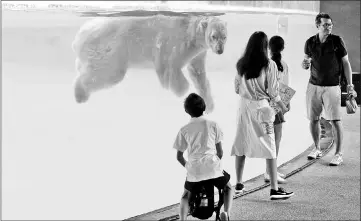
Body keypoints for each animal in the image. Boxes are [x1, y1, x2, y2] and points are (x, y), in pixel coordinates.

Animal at [71, 15, 226, 112]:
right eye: (213, 36)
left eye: (224, 36)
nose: (220, 50)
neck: (191, 34)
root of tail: (80, 35)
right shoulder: (175, 44)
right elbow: (170, 66)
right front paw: (182, 93)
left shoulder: (198, 53)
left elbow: (197, 73)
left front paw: (209, 105)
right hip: (111, 48)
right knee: (109, 73)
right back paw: (80, 94)